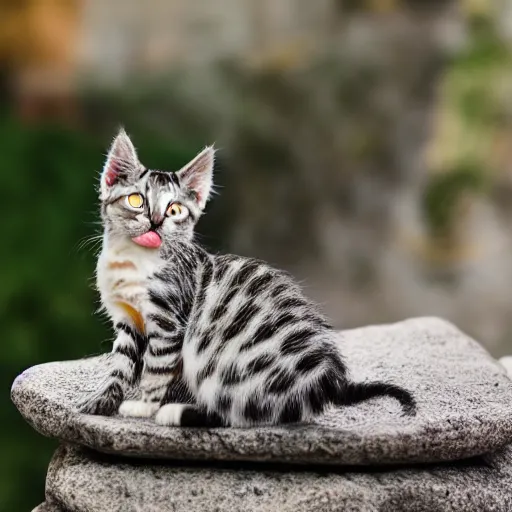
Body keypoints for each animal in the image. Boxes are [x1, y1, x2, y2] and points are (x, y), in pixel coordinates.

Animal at [77, 129, 416, 428]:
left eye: (174, 210)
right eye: (136, 201)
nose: (156, 222)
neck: (133, 263)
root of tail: (326, 381)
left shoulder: (169, 321)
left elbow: (155, 368)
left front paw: (144, 405)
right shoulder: (127, 321)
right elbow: (121, 366)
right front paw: (102, 400)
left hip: (226, 363)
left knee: (246, 413)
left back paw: (174, 412)